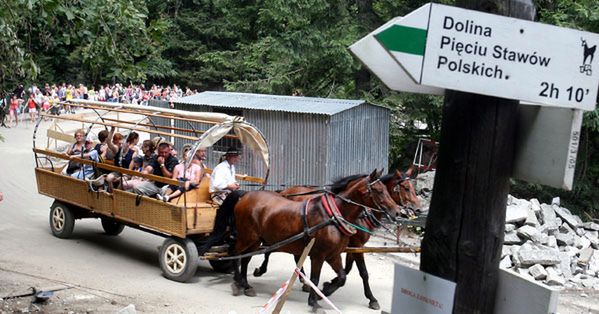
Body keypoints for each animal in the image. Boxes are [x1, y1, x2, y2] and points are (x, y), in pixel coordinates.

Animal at [226, 169, 404, 310]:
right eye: (378, 190)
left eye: (386, 189)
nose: (397, 212)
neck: (333, 215)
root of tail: (245, 195)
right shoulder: (319, 255)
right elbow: (316, 278)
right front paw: (314, 301)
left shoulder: (334, 255)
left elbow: (342, 277)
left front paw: (323, 292)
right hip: (247, 237)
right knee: (235, 253)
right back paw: (238, 282)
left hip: (256, 240)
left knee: (246, 259)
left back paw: (246, 284)